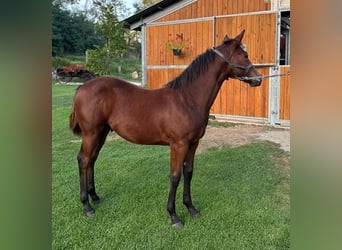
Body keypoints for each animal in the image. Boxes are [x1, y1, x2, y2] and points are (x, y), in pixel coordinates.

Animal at [69, 30, 262, 228]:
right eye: (245, 55)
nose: (258, 78)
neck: (187, 99)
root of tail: (82, 87)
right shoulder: (178, 144)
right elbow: (175, 176)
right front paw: (173, 215)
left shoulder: (193, 143)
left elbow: (188, 172)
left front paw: (191, 208)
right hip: (91, 133)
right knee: (84, 160)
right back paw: (87, 206)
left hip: (102, 132)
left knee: (92, 159)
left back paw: (95, 197)